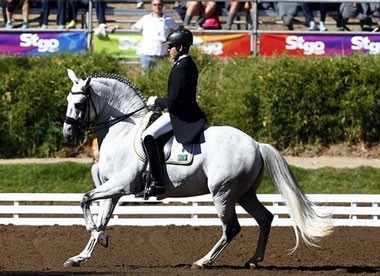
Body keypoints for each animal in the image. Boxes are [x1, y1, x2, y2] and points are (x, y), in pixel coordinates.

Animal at [62, 69, 332, 270]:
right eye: (67, 101)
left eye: (79, 103)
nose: (67, 133)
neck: (124, 130)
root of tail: (256, 144)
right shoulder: (114, 189)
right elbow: (101, 216)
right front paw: (82, 254)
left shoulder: (121, 185)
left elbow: (85, 200)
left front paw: (97, 235)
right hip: (244, 194)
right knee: (265, 218)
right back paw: (254, 260)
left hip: (223, 193)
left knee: (231, 228)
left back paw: (203, 261)